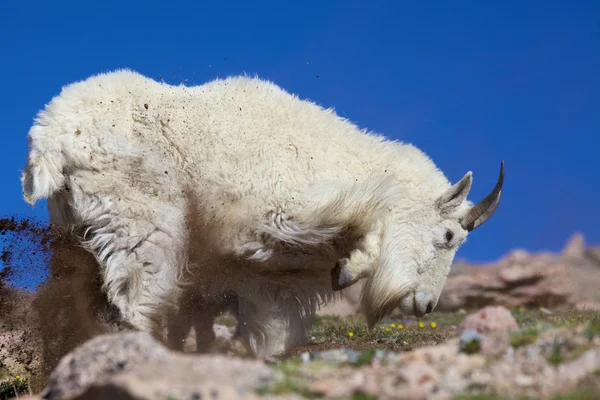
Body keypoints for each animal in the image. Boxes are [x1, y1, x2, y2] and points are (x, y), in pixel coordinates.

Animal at [21, 69, 502, 356]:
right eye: (448, 236)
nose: (425, 305)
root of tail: (50, 137)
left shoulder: (265, 273)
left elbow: (268, 322)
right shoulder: (270, 219)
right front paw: (352, 264)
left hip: (75, 229)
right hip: (143, 221)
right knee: (137, 297)